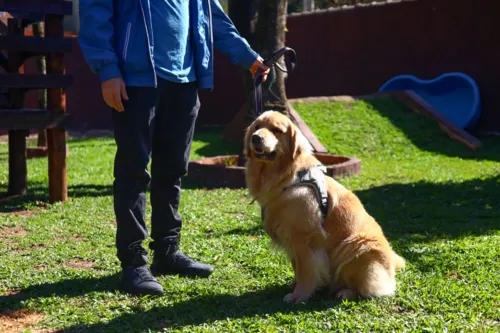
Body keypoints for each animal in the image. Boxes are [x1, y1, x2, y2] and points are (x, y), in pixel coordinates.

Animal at [244, 110, 404, 302]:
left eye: (276, 130)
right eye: (257, 126)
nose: (255, 137)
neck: (286, 178)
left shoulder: (305, 238)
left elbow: (305, 271)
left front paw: (299, 295)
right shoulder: (291, 240)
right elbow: (297, 268)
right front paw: (294, 286)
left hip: (357, 245)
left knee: (370, 288)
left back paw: (345, 292)